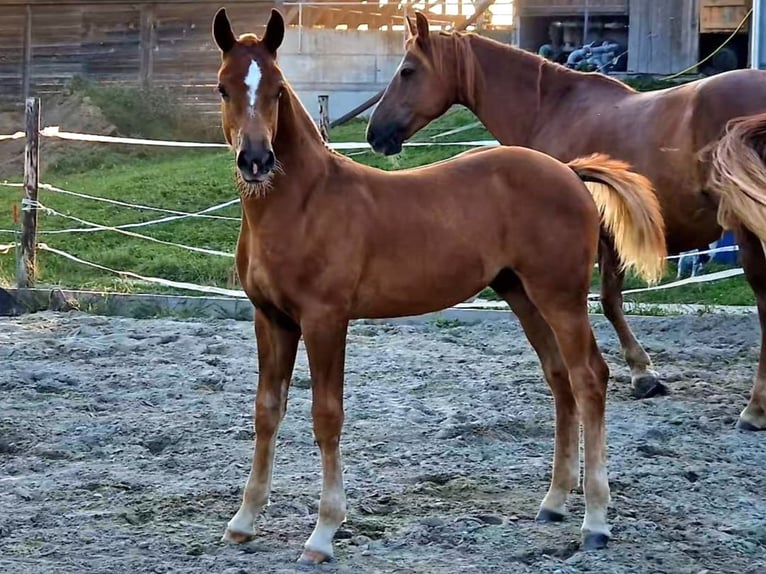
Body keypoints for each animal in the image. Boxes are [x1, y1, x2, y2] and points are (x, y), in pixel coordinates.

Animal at [213, 7, 668, 568]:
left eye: (277, 89)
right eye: (223, 88)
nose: (255, 159)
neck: (303, 202)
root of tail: (568, 170)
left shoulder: (325, 319)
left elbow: (326, 416)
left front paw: (323, 533)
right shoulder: (270, 318)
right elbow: (266, 412)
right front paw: (243, 521)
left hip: (559, 297)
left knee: (589, 379)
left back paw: (596, 522)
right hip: (521, 295)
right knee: (559, 378)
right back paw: (554, 502)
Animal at [364, 11, 766, 430]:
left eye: (408, 71)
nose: (375, 134)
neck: (552, 110)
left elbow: (604, 303)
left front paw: (640, 373)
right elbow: (610, 300)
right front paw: (643, 374)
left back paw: (754, 408)